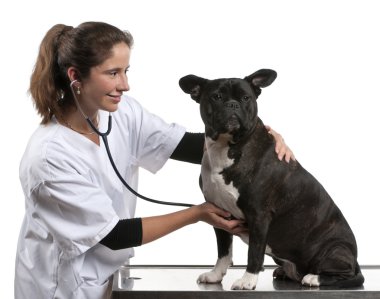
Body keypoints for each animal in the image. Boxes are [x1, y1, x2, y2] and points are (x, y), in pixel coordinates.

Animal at [180, 69, 364, 290]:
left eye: (246, 98)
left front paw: (248, 280)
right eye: (216, 97)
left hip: (336, 248)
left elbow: (254, 252)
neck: (228, 145)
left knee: (345, 274)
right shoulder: (219, 212)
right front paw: (216, 275)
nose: (232, 104)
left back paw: (314, 278)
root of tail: (355, 259)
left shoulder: (259, 215)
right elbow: (223, 251)